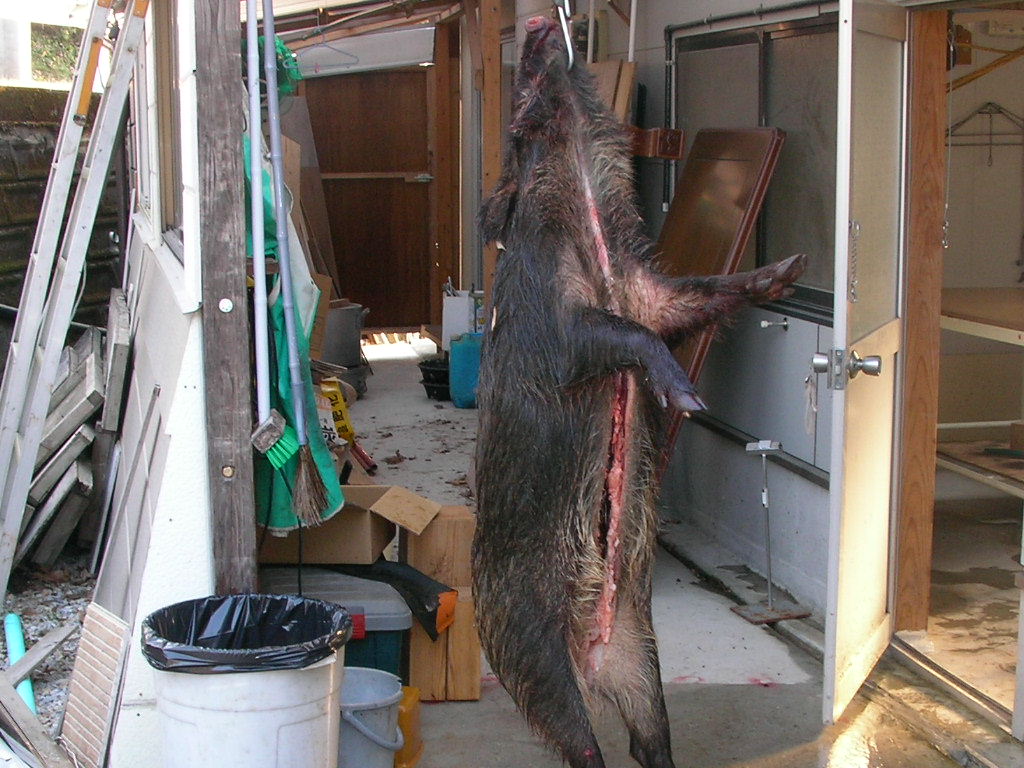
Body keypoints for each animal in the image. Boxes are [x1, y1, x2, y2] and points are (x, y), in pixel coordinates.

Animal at [471, 15, 806, 768]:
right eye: (518, 96)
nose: (537, 23)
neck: (595, 240)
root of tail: (591, 659)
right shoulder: (566, 333)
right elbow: (630, 338)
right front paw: (689, 401)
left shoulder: (652, 292)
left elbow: (697, 297)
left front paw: (788, 272)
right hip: (531, 659)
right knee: (582, 746)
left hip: (643, 660)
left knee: (649, 741)